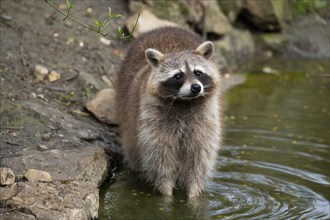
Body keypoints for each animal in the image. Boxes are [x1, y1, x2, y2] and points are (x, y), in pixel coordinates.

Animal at [115, 26, 222, 197]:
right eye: (178, 76)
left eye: (198, 73)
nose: (196, 87)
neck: (184, 102)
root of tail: (165, 27)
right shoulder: (152, 116)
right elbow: (159, 155)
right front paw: (166, 193)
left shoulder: (205, 118)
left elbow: (200, 156)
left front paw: (194, 192)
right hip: (125, 103)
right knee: (132, 143)